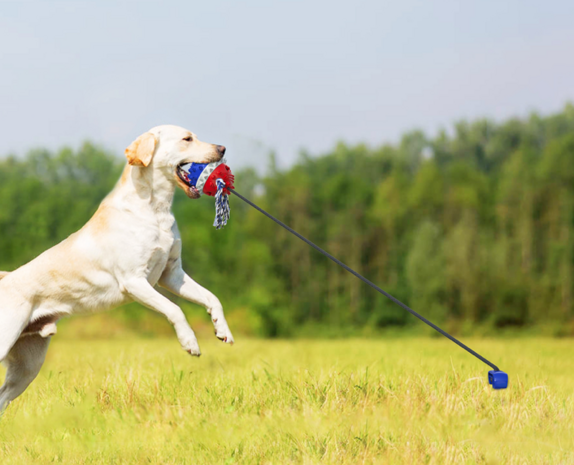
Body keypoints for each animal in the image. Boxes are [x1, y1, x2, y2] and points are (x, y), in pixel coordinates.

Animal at [0, 124, 234, 410]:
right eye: (187, 139)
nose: (222, 148)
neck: (155, 208)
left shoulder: (172, 274)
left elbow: (212, 298)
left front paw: (222, 329)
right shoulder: (134, 281)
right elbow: (175, 309)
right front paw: (190, 343)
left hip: (27, 366)